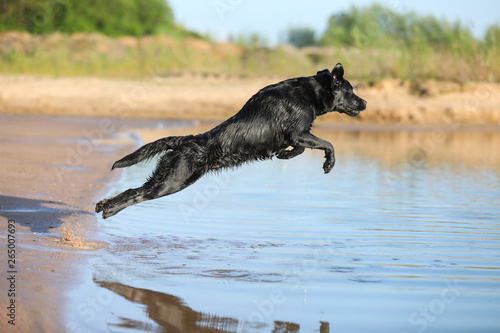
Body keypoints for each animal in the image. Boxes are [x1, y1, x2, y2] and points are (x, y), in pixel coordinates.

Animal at [95, 62, 366, 219]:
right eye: (351, 90)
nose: (365, 102)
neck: (310, 93)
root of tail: (186, 140)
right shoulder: (298, 132)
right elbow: (328, 144)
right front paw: (328, 163)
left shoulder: (296, 136)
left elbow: (299, 149)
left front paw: (285, 154)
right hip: (175, 180)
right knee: (136, 194)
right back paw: (109, 210)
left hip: (168, 176)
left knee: (134, 190)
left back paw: (103, 204)